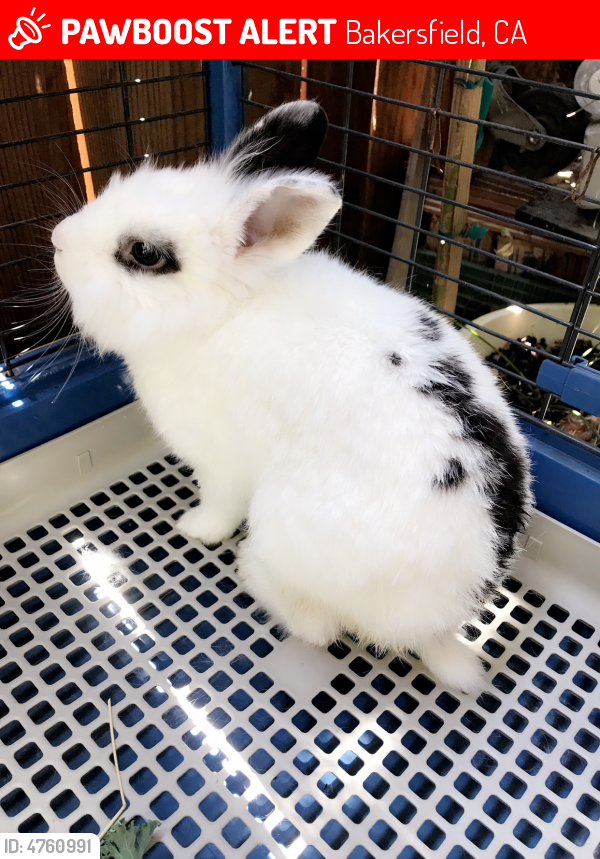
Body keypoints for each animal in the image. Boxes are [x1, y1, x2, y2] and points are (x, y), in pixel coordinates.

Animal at [52, 100, 532, 694]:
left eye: (144, 253)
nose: (58, 240)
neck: (227, 311)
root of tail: (436, 626)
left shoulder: (221, 463)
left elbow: (218, 507)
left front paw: (194, 529)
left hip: (283, 522)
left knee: (318, 626)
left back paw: (251, 572)